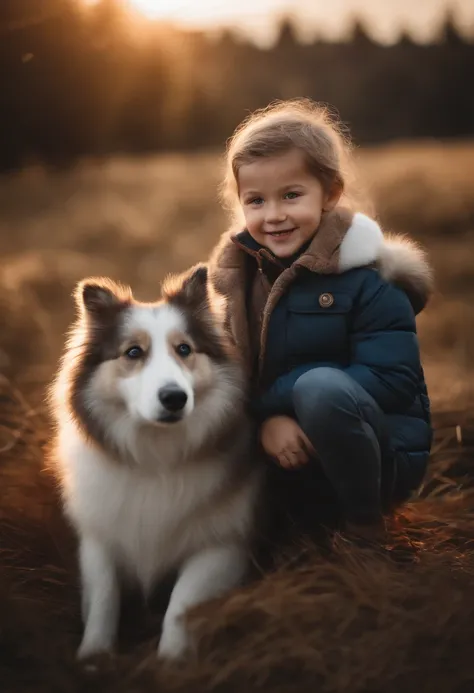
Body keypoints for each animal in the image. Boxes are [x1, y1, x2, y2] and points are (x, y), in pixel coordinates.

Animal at [50, 264, 262, 660]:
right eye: (133, 352)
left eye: (184, 349)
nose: (174, 398)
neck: (156, 458)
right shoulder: (99, 535)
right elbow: (103, 596)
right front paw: (94, 654)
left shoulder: (223, 544)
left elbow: (181, 603)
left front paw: (170, 659)